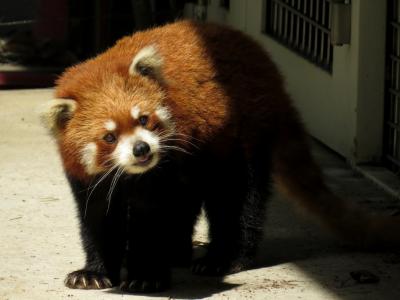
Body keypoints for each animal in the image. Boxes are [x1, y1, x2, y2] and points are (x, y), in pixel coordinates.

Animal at [40, 20, 400, 292]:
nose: (143, 149)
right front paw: (95, 272)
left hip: (242, 136)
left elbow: (152, 218)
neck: (133, 176)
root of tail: (268, 65)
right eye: (109, 137)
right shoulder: (88, 180)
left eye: (143, 119)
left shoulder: (165, 165)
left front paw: (147, 275)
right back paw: (178, 251)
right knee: (189, 201)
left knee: (238, 200)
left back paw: (225, 258)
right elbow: (97, 220)